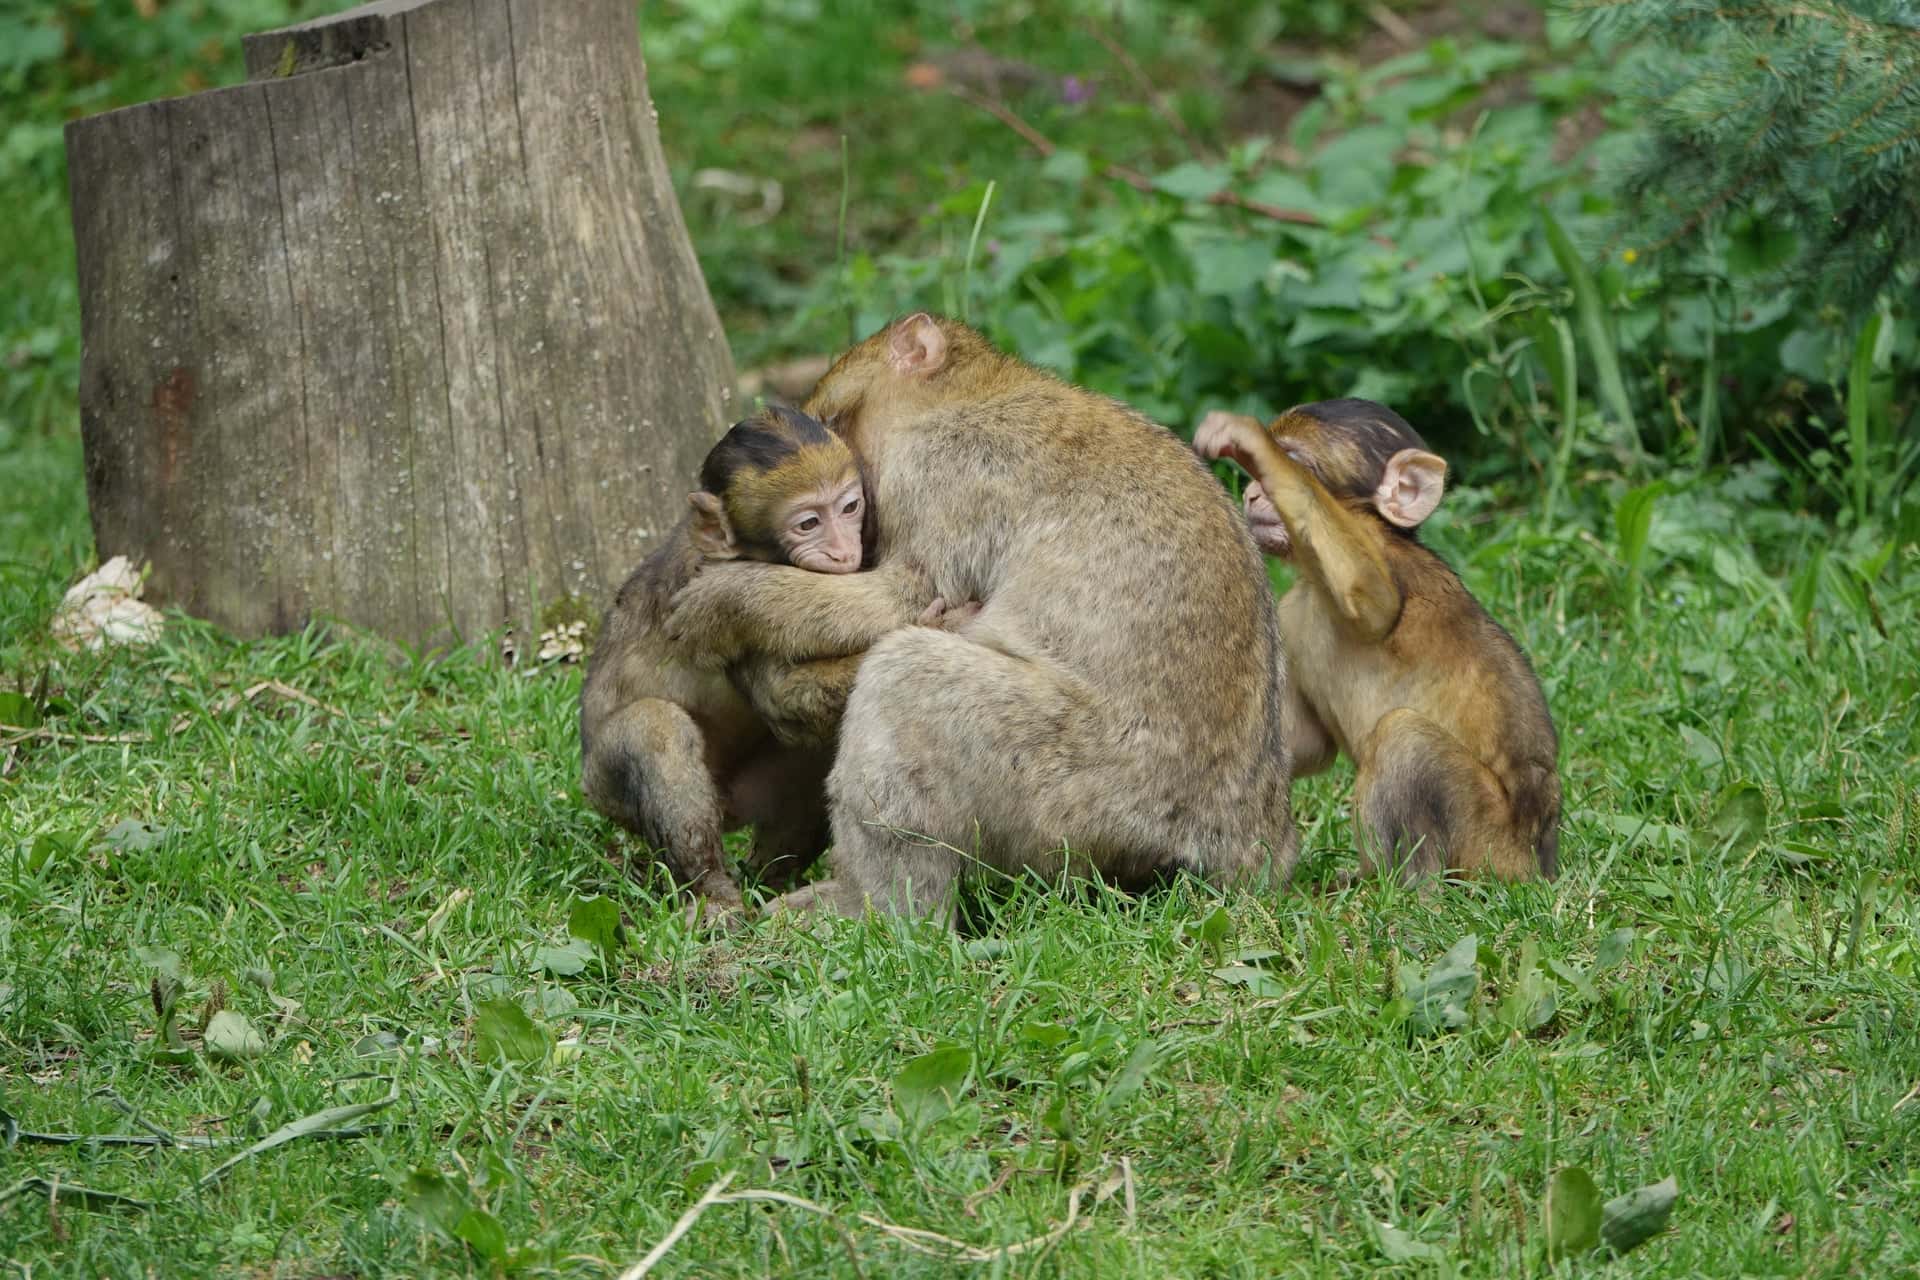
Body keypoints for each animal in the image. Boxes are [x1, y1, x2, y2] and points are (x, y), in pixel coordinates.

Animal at [578, 404, 947, 908]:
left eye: (849, 507)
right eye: (808, 523)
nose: (842, 551)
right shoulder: (703, 583)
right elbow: (783, 697)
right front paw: (939, 626)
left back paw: (771, 880)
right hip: (606, 786)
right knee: (653, 728)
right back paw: (715, 894)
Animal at [663, 313, 1298, 924]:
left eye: (837, 429)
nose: (848, 536)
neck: (967, 394)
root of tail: (1244, 843)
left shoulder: (938, 471)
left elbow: (904, 598)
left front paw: (724, 605)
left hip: (1088, 795)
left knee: (904, 673)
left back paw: (872, 914)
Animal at [1191, 398, 1560, 883]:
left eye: (1296, 460)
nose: (1252, 494)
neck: (1317, 588)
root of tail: (1538, 860)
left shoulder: (1390, 556)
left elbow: (1373, 597)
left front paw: (1253, 444)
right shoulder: (1291, 612)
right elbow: (1304, 745)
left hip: (1487, 840)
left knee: (1402, 738)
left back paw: (1396, 888)